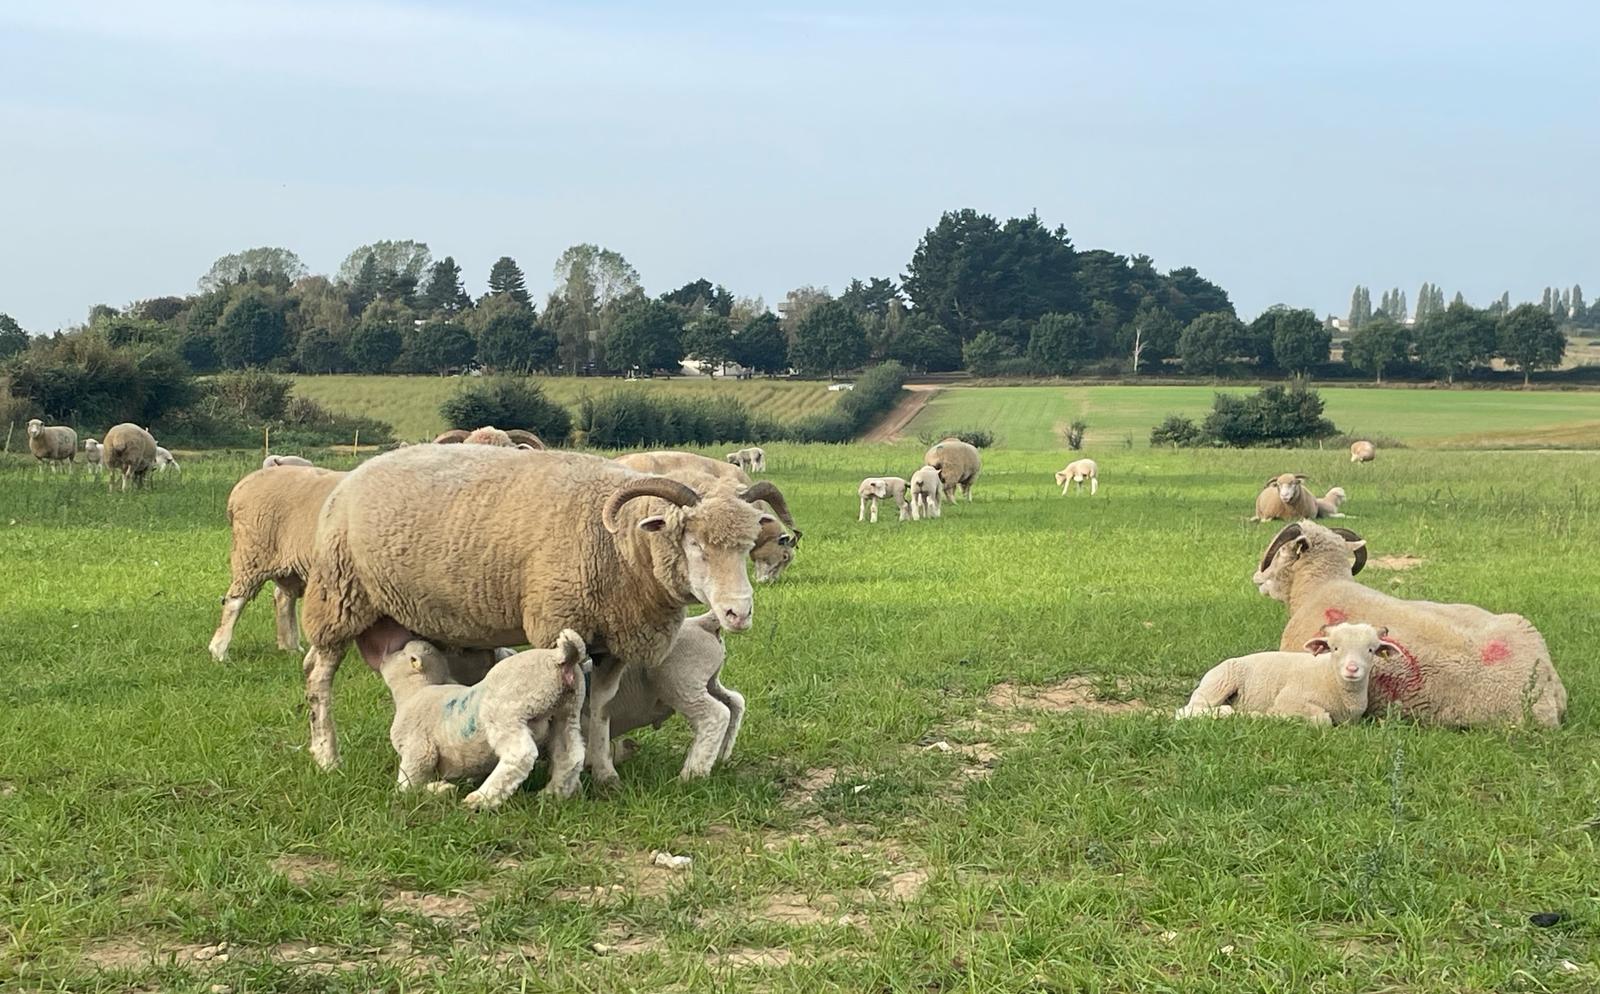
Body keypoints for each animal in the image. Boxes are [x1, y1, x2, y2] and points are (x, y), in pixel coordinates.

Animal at [209, 465, 346, 662]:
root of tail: (242, 486)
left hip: (288, 563)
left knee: (283, 597)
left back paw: (290, 646)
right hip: (253, 552)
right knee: (235, 600)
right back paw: (220, 652)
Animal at [380, 631, 590, 808]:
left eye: (401, 652)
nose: (383, 656)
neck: (414, 692)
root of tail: (560, 658)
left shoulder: (418, 748)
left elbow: (407, 785)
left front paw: (436, 790)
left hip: (505, 712)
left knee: (520, 754)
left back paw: (482, 799)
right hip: (567, 712)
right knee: (570, 755)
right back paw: (553, 793)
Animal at [597, 611, 744, 779]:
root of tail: (701, 622)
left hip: (680, 681)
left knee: (715, 715)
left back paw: (692, 775)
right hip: (708, 682)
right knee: (735, 702)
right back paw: (721, 755)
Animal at [1176, 622, 1400, 725]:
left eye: (1370, 650)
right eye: (1335, 648)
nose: (1352, 669)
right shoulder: (1290, 698)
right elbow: (1323, 720)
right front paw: (1279, 717)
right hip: (1219, 683)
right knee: (1187, 711)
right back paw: (1228, 712)